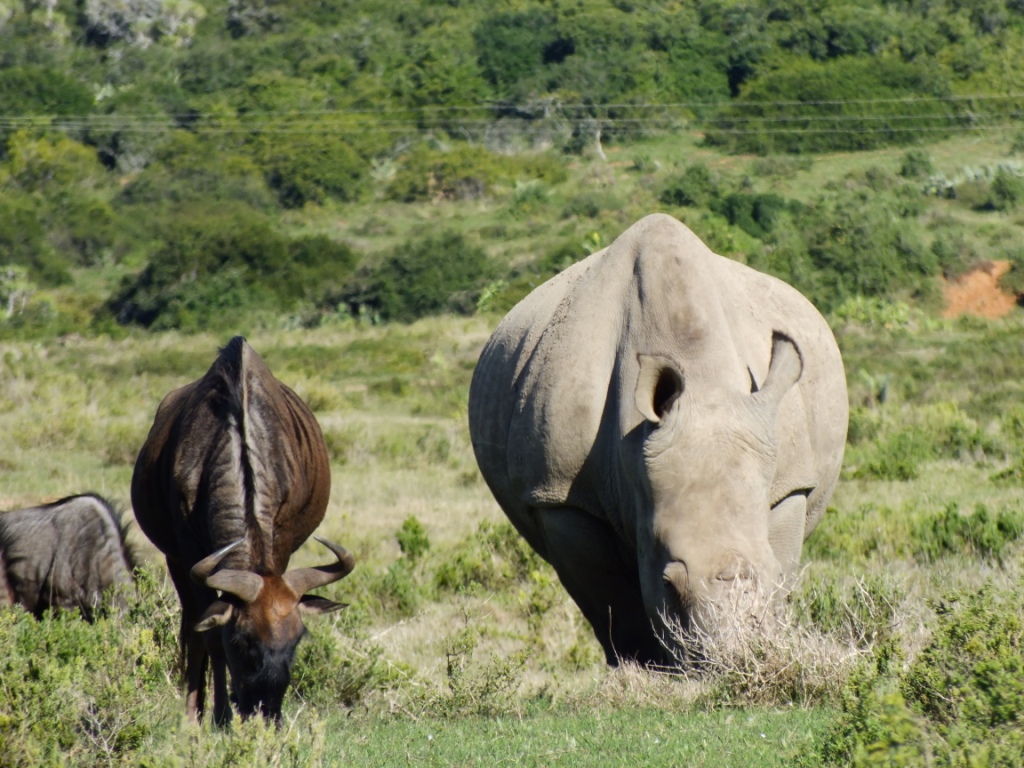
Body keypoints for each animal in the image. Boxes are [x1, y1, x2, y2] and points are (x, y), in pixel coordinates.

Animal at [468, 211, 843, 667]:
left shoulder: (789, 483)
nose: (731, 661)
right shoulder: (560, 495)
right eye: (667, 583)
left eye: (772, 575)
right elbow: (613, 603)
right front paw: (642, 668)